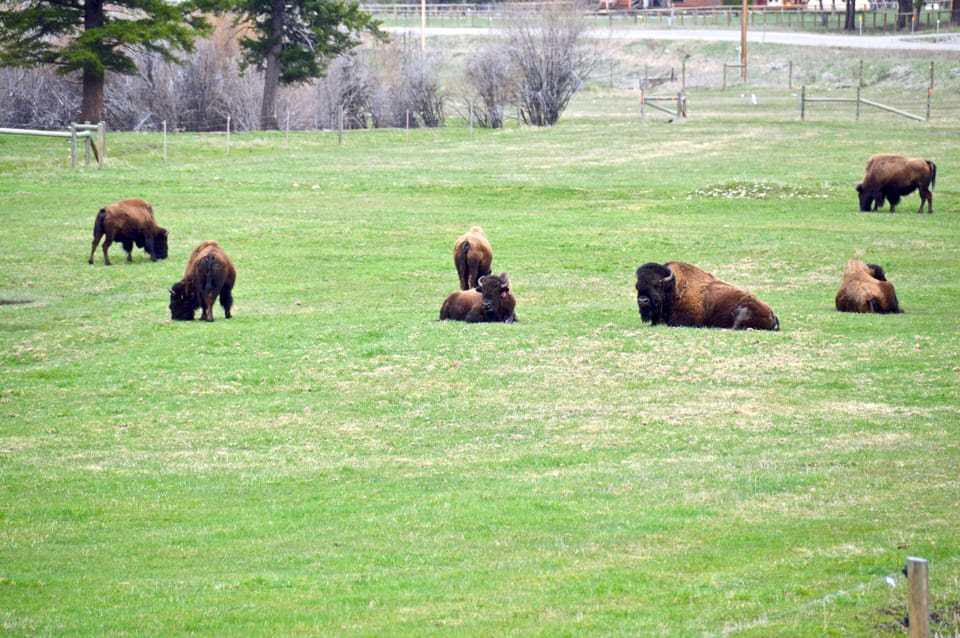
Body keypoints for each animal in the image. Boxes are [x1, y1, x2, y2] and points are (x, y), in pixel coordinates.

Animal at [635, 261, 780, 330]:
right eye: (637, 286)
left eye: (657, 284)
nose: (642, 300)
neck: (674, 288)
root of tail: (772, 314)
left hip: (743, 311)